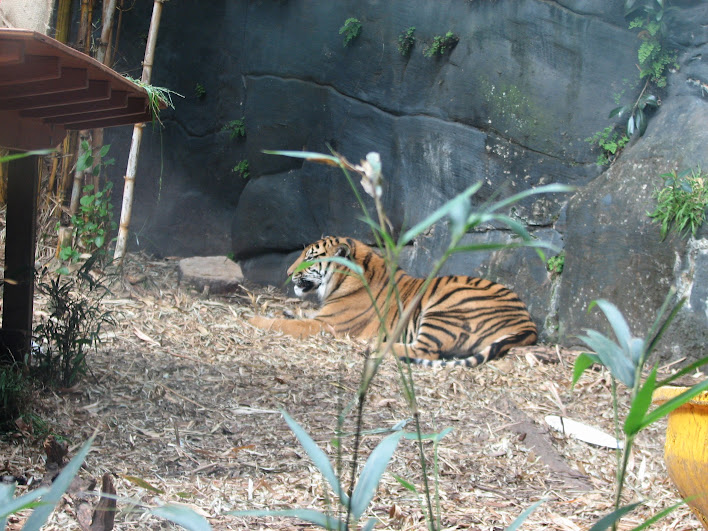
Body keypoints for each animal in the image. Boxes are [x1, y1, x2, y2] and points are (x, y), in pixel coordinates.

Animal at [248, 236, 537, 367]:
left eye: (309, 258)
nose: (288, 273)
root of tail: (529, 324)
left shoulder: (327, 324)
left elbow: (287, 325)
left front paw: (251, 319)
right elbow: (296, 315)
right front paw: (283, 312)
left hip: (445, 305)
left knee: (424, 351)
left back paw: (373, 347)